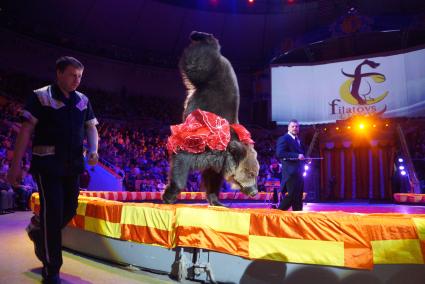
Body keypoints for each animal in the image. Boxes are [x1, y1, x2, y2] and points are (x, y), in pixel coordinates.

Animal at [162, 31, 258, 205]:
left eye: (256, 173)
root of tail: (222, 57)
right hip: (204, 68)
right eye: (251, 173)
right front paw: (169, 196)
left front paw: (216, 200)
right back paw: (198, 35)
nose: (255, 192)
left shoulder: (216, 163)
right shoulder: (202, 143)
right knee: (196, 58)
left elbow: (212, 178)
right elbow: (182, 159)